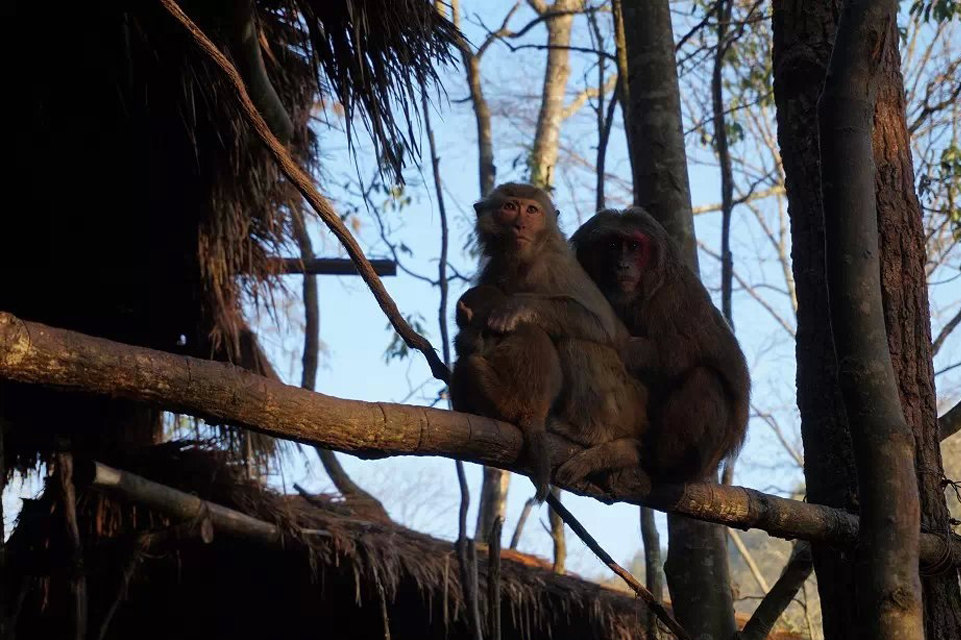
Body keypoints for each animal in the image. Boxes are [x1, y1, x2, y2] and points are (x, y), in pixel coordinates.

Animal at [452, 182, 648, 498]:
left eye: (532, 210)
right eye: (510, 207)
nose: (520, 224)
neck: (524, 261)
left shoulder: (552, 267)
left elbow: (603, 328)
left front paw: (516, 308)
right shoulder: (494, 270)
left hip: (624, 403)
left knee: (576, 342)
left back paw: (587, 432)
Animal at [568, 208, 752, 482]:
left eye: (634, 246)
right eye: (613, 245)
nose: (623, 264)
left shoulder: (672, 297)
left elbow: (685, 352)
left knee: (705, 380)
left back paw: (656, 463)